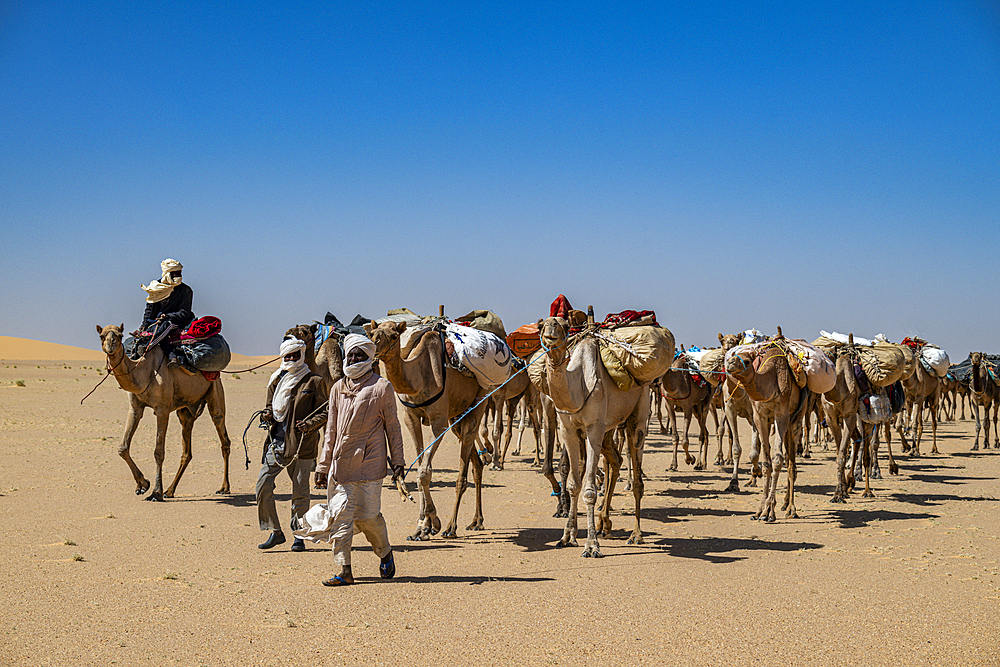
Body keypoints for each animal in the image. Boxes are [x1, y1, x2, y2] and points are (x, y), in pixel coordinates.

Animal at [96, 324, 232, 500]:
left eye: (120, 335)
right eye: (102, 336)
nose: (110, 345)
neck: (143, 372)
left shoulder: (162, 410)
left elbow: (158, 452)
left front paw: (155, 492)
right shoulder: (135, 408)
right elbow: (123, 448)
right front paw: (142, 485)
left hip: (215, 386)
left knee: (222, 432)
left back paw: (224, 488)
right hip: (185, 410)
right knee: (186, 449)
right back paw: (170, 490)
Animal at [368, 320, 492, 544]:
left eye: (394, 335)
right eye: (372, 333)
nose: (374, 347)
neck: (418, 378)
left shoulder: (438, 421)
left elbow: (424, 472)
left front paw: (432, 523)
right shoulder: (410, 418)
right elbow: (419, 468)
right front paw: (423, 527)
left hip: (479, 402)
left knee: (463, 473)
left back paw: (452, 527)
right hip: (457, 416)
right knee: (476, 463)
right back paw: (476, 521)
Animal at [724, 332, 808, 524]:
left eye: (748, 361)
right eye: (734, 356)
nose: (730, 363)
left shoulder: (781, 415)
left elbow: (777, 460)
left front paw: (769, 512)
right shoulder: (759, 416)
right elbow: (766, 463)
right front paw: (760, 510)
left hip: (796, 418)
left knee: (791, 464)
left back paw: (791, 509)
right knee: (787, 459)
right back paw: (784, 504)